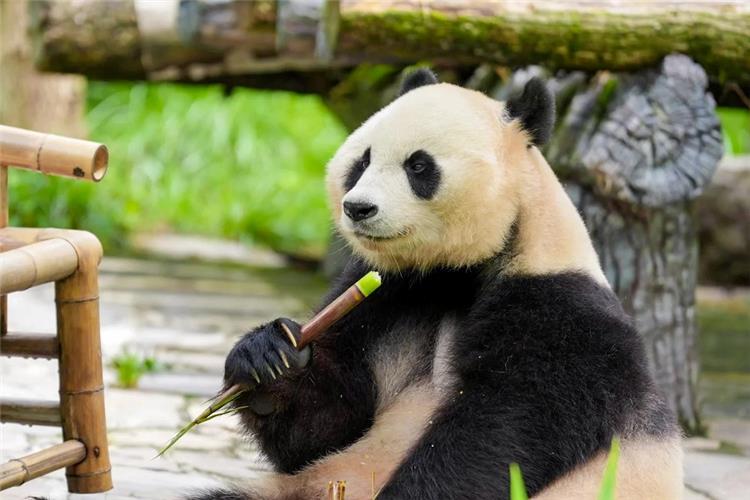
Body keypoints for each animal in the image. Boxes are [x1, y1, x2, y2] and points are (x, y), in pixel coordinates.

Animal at [190, 69, 683, 500]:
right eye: (362, 161)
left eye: (419, 166)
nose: (358, 208)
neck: (458, 271)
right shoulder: (387, 293)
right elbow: (328, 429)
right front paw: (268, 356)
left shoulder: (559, 317)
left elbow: (501, 434)